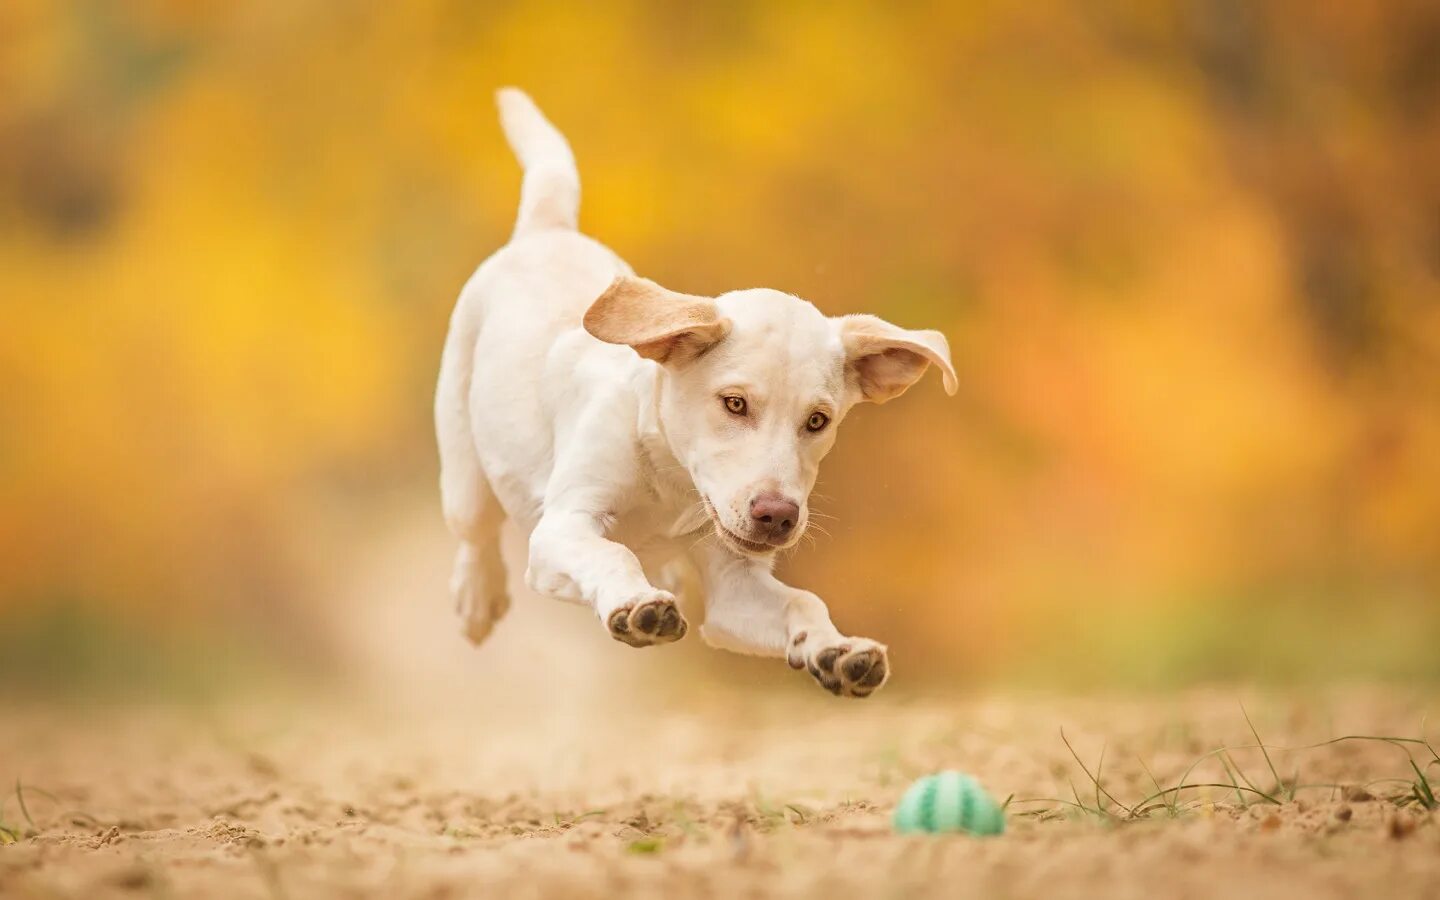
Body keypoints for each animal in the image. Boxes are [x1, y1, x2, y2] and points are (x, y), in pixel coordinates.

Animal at [434, 87, 956, 694]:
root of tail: (548, 229)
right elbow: (612, 555)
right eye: (734, 403)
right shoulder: (561, 529)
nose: (778, 516)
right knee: (475, 533)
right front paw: (635, 606)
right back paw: (478, 598)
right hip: (465, 470)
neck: (673, 487)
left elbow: (802, 602)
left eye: (818, 421)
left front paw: (836, 651)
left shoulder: (732, 585)